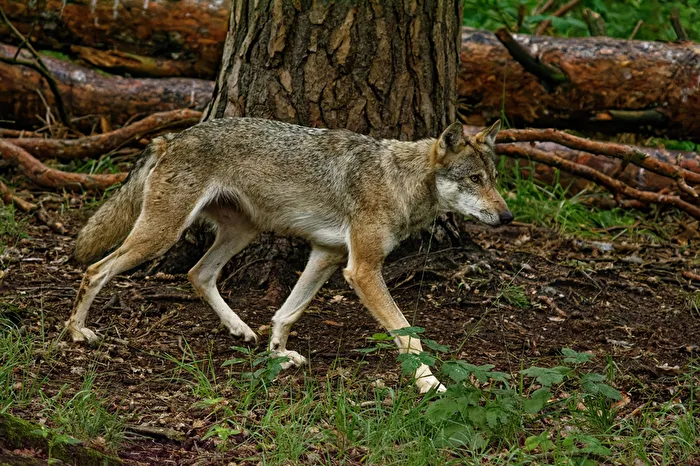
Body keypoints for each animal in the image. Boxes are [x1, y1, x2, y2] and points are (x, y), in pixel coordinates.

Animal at [67, 117, 512, 393]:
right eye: (475, 179)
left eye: (494, 179)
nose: (508, 217)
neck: (399, 181)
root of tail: (172, 137)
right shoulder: (363, 270)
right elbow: (409, 336)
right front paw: (430, 384)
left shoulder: (327, 255)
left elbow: (287, 312)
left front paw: (277, 355)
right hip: (161, 235)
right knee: (95, 270)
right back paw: (77, 332)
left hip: (241, 232)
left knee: (198, 273)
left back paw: (240, 329)